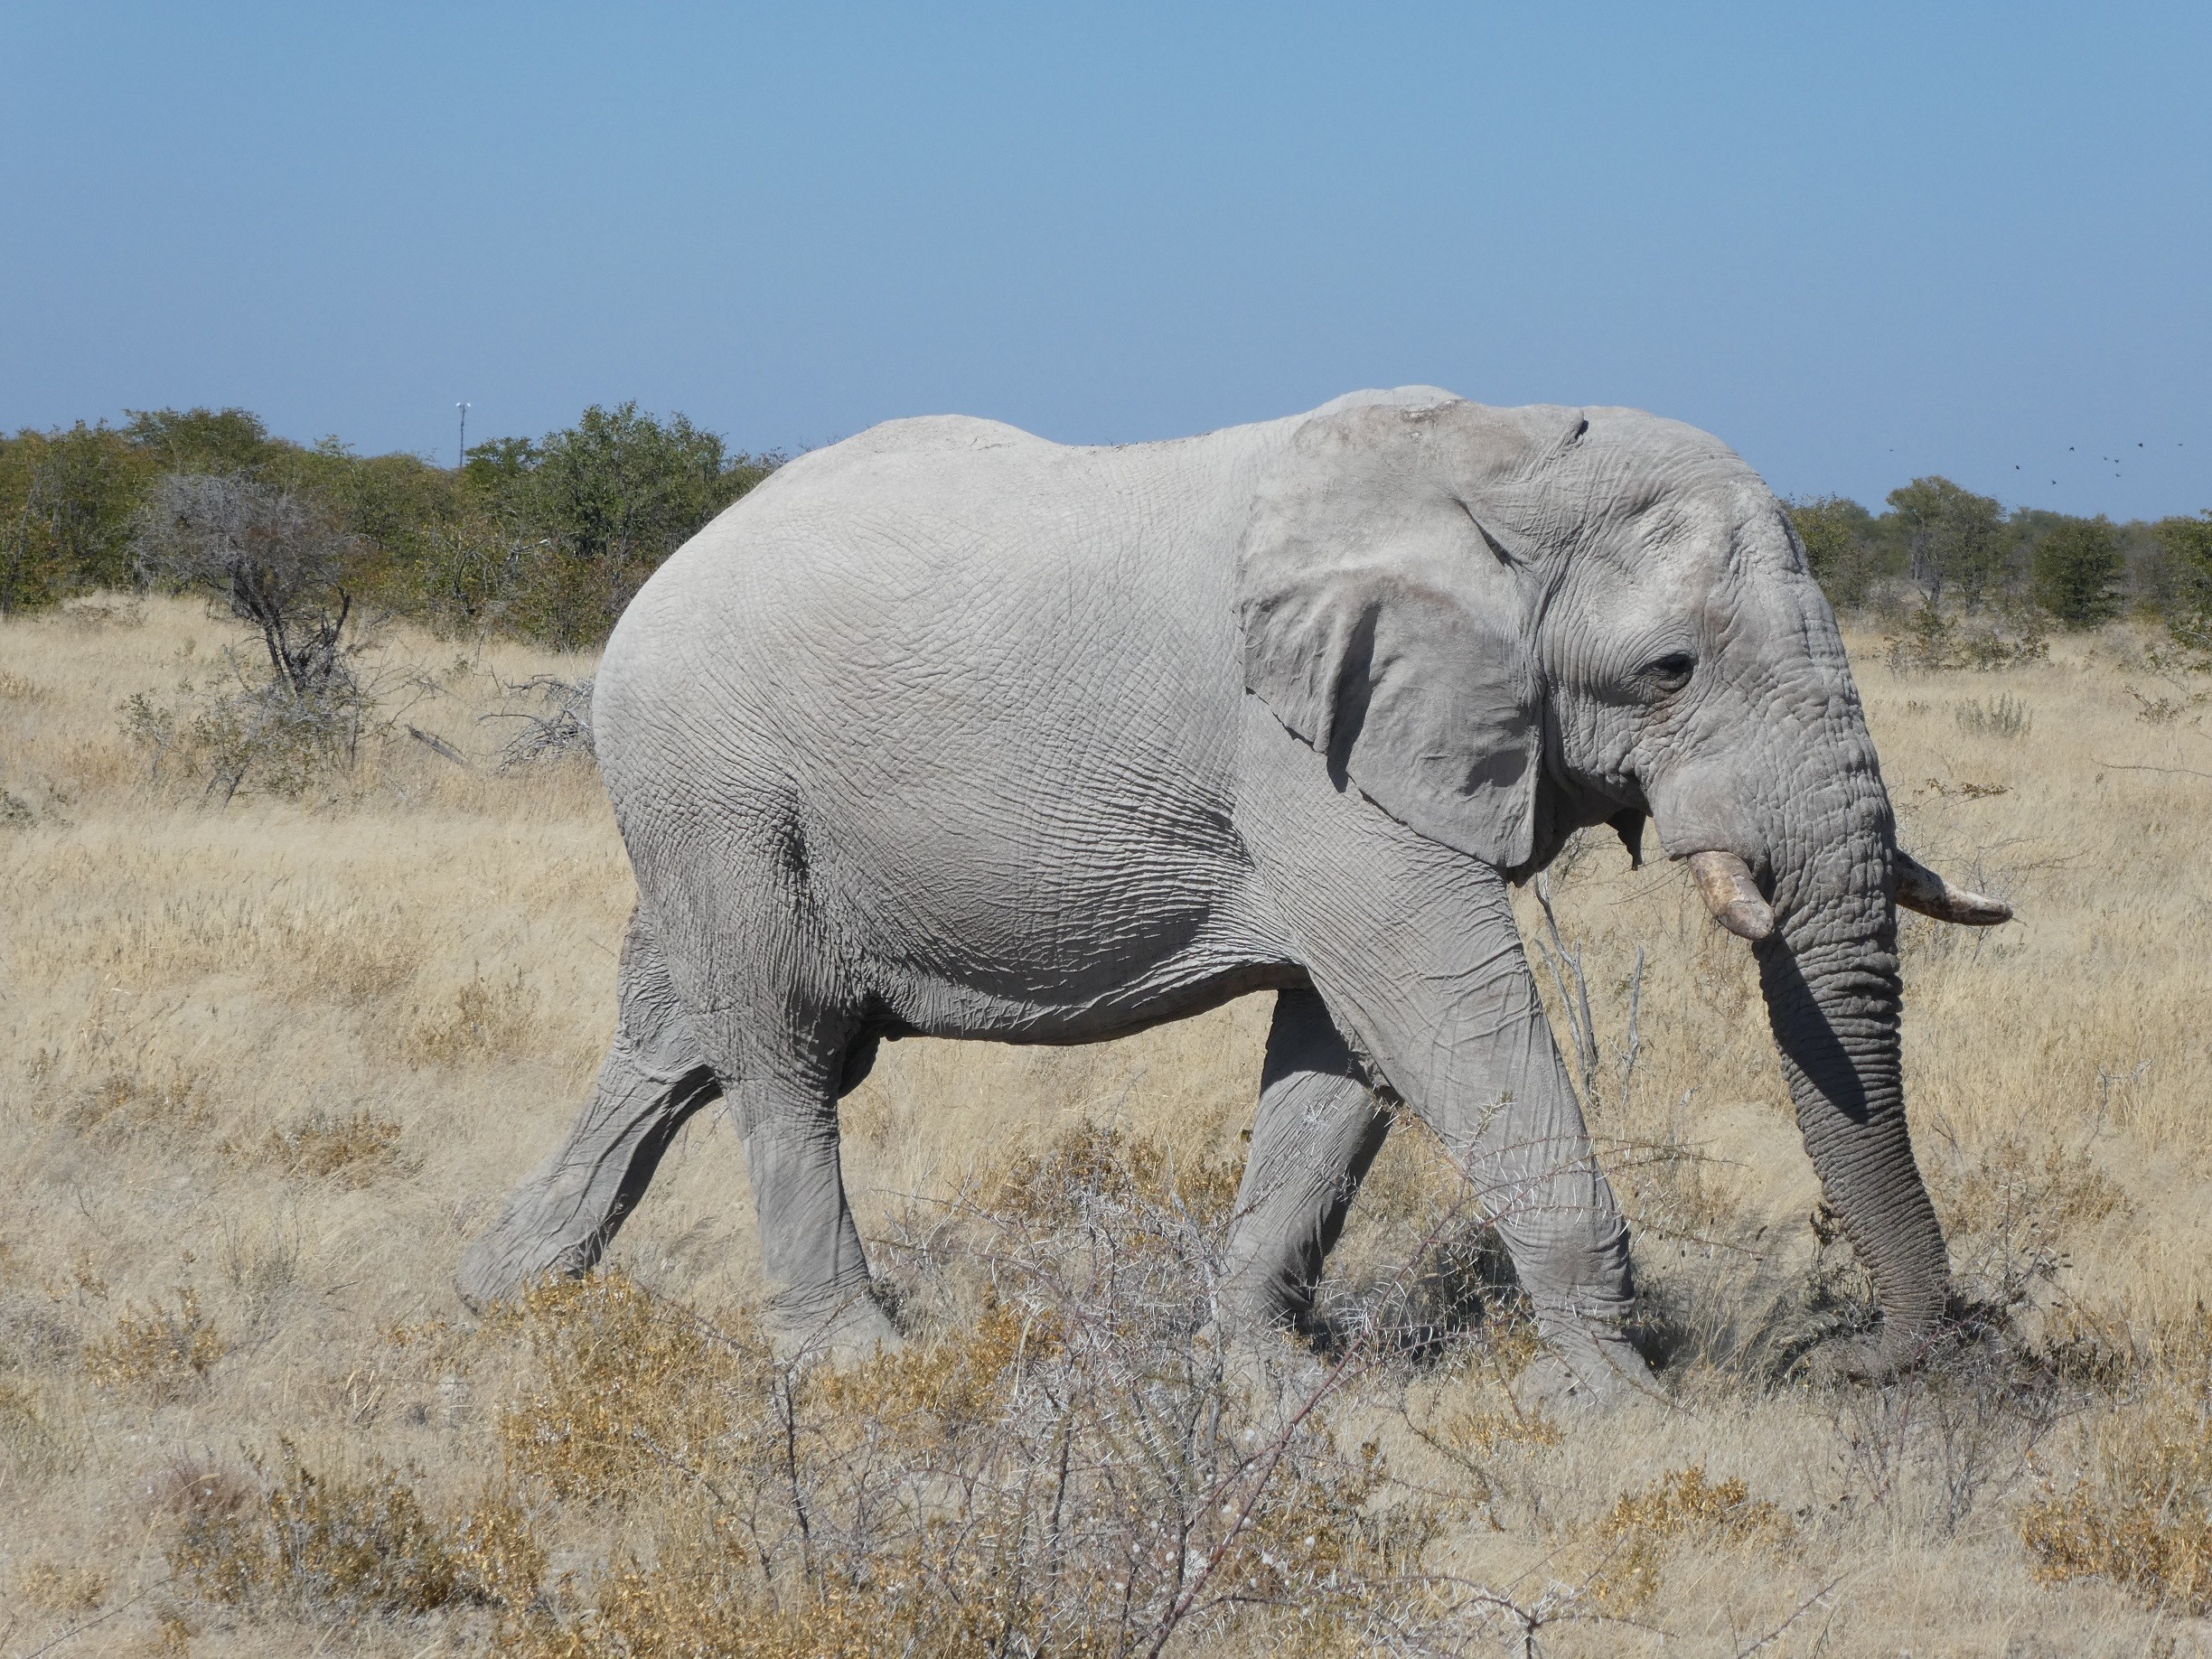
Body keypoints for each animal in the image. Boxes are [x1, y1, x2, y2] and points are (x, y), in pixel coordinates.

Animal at [457, 387, 2017, 1389]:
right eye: (1671, 670)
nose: (1884, 1360)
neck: (1505, 457)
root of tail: (660, 573)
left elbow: (1345, 1050)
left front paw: (1268, 1375)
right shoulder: (1310, 752)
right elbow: (1441, 1004)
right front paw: (1618, 1408)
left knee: (680, 1036)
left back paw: (500, 1294)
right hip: (717, 785)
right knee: (780, 1052)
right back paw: (852, 1366)